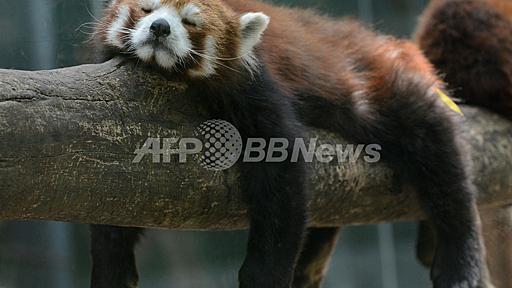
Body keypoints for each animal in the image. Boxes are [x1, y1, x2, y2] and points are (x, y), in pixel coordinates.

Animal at [90, 0, 486, 288]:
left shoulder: (258, 87)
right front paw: (113, 267)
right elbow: (113, 202)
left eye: (190, 22)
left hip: (385, 88)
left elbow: (283, 184)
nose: (160, 27)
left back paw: (459, 263)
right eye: (146, 9)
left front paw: (264, 276)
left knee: (441, 164)